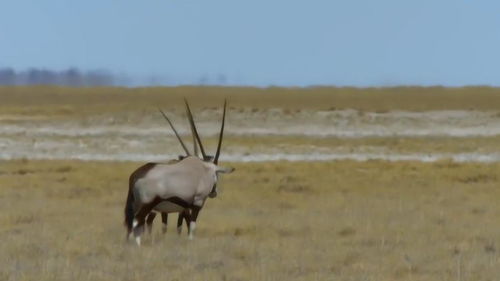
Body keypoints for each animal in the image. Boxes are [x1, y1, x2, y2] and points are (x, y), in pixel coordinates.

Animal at [124, 99, 235, 244]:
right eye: (216, 174)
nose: (213, 193)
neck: (204, 169)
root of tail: (136, 176)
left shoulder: (183, 208)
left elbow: (180, 226)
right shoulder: (196, 203)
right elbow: (191, 225)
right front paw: (190, 240)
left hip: (136, 205)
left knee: (132, 224)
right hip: (147, 205)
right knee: (138, 222)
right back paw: (139, 244)